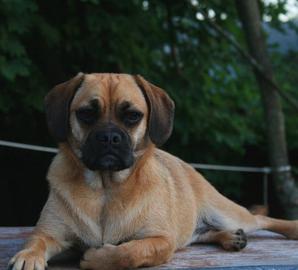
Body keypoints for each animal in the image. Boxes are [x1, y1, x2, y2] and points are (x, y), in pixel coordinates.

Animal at [8, 73, 298, 270]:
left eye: (133, 116)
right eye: (86, 113)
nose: (109, 137)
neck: (105, 189)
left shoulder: (159, 240)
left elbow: (128, 253)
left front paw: (98, 257)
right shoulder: (50, 233)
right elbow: (35, 241)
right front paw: (27, 256)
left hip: (226, 213)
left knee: (260, 219)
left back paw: (288, 228)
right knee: (205, 233)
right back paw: (230, 238)